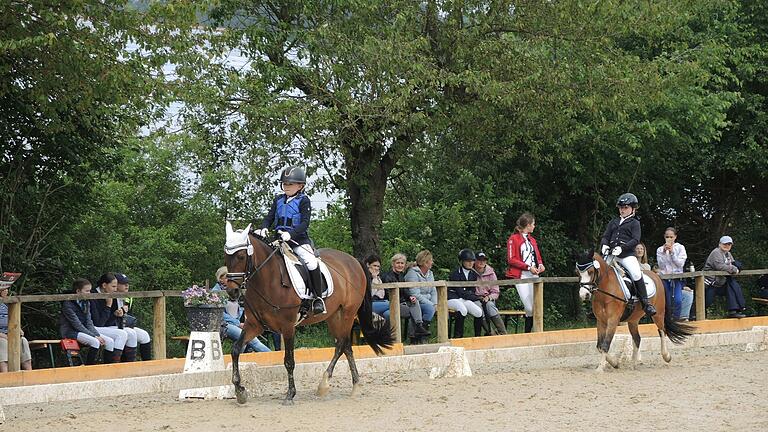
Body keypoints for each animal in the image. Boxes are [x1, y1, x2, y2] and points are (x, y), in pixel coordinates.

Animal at [220, 223, 390, 404]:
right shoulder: (254, 325)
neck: (268, 280)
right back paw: (347, 384)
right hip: (333, 316)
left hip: (347, 314)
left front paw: (290, 394)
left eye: (241, 256)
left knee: (342, 344)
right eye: (226, 256)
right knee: (344, 346)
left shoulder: (288, 327)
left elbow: (289, 361)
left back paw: (331, 384)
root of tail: (353, 261)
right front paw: (240, 390)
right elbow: (236, 350)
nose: (232, 291)